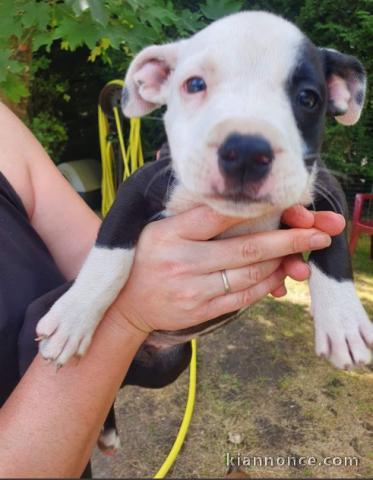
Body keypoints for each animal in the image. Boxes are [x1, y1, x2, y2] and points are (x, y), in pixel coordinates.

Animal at [36, 11, 370, 374]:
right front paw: (74, 317)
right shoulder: (136, 187)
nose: (246, 150)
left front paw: (343, 320)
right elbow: (111, 254)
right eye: (194, 85)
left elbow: (333, 246)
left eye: (308, 99)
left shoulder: (327, 189)